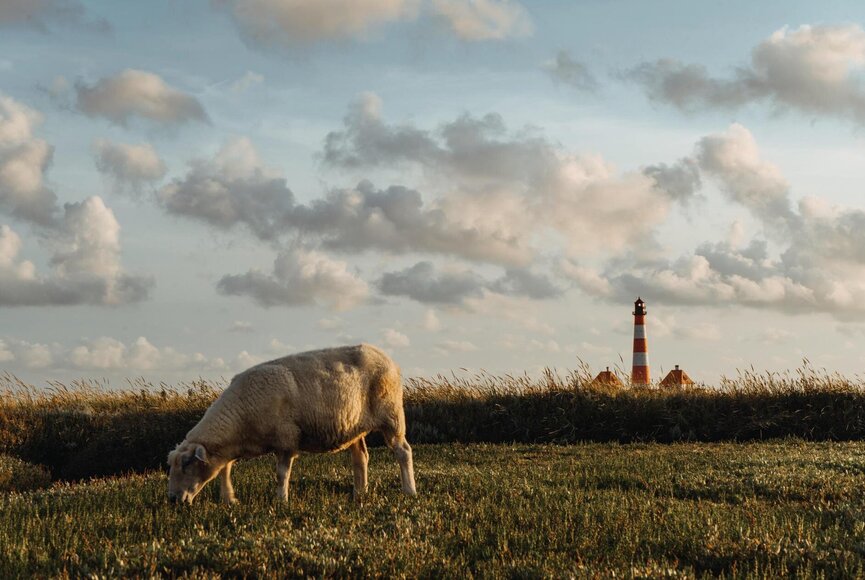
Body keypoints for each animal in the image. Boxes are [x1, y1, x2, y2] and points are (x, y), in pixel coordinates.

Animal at [167, 344, 416, 504]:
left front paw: (281, 501)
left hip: (392, 415)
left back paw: (409, 491)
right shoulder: (234, 446)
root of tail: (387, 358)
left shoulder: (286, 439)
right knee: (361, 457)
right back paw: (360, 494)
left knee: (403, 451)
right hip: (354, 426)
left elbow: (281, 474)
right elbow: (224, 470)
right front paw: (229, 499)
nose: (172, 500)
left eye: (187, 464)